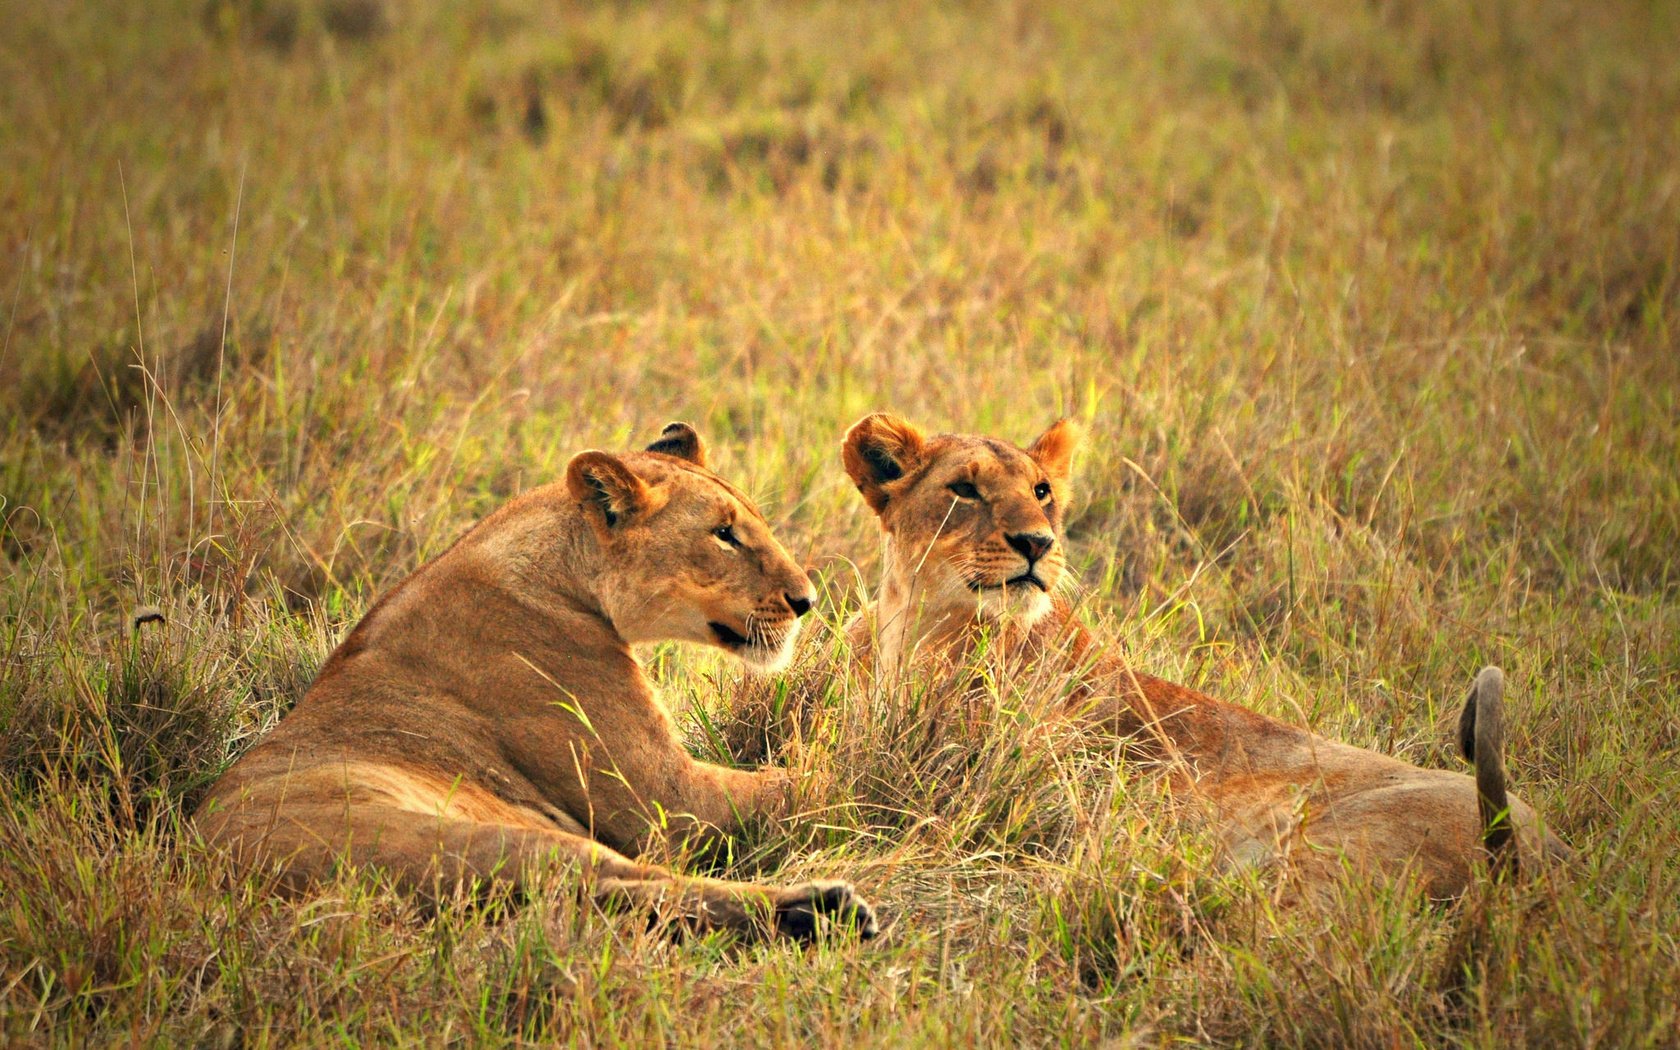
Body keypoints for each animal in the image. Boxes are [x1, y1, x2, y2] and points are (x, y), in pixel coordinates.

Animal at [193, 421, 880, 940]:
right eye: (724, 534)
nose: (807, 601)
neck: (564, 570)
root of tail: (210, 875)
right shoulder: (671, 800)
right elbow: (810, 785)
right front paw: (893, 775)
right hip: (487, 840)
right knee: (622, 885)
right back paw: (821, 910)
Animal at [846, 411, 1565, 900]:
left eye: (1042, 491)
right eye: (964, 489)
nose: (1037, 543)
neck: (922, 628)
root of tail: (1538, 854)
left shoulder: (979, 794)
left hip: (1318, 860)